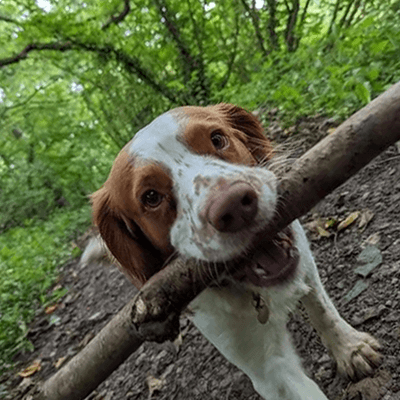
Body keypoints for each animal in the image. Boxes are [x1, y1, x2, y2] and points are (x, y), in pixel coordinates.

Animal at [91, 104, 382, 400]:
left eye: (217, 139)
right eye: (151, 197)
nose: (232, 205)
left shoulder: (303, 258)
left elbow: (322, 309)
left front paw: (350, 349)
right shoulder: (268, 369)